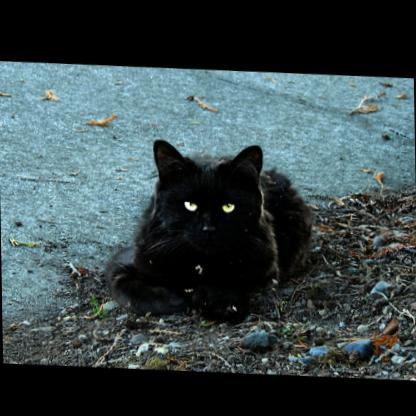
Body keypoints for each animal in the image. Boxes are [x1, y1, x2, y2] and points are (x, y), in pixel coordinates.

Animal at [106, 140, 312, 321]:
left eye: (228, 207)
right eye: (190, 205)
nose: (208, 228)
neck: (200, 265)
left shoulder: (264, 270)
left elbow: (226, 283)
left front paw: (221, 303)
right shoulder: (128, 261)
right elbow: (131, 290)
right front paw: (175, 300)